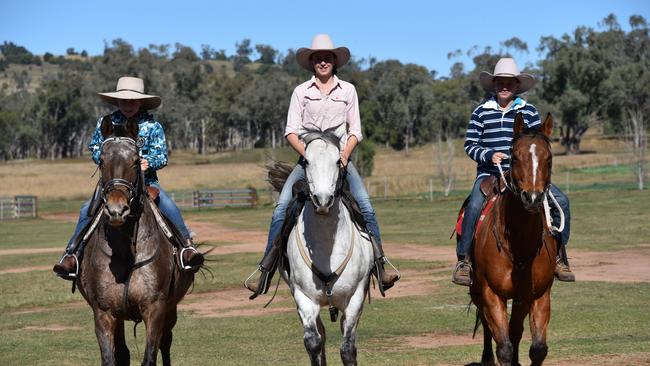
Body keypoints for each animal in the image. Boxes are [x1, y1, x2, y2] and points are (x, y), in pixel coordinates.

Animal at [77, 117, 194, 366]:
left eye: (135, 160)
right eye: (102, 160)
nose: (116, 209)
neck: (125, 252)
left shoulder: (155, 309)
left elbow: (150, 355)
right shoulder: (104, 313)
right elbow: (111, 358)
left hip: (171, 309)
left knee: (166, 344)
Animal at [276, 123, 372, 366]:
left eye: (338, 161)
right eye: (306, 161)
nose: (322, 199)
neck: (327, 246)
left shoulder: (355, 298)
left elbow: (348, 349)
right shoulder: (303, 297)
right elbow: (313, 343)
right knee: (321, 335)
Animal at [468, 113, 560, 364]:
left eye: (549, 158)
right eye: (515, 157)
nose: (533, 198)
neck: (519, 245)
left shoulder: (539, 295)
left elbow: (537, 348)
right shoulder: (492, 294)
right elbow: (504, 347)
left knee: (515, 329)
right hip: (477, 290)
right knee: (488, 327)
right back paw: (486, 358)